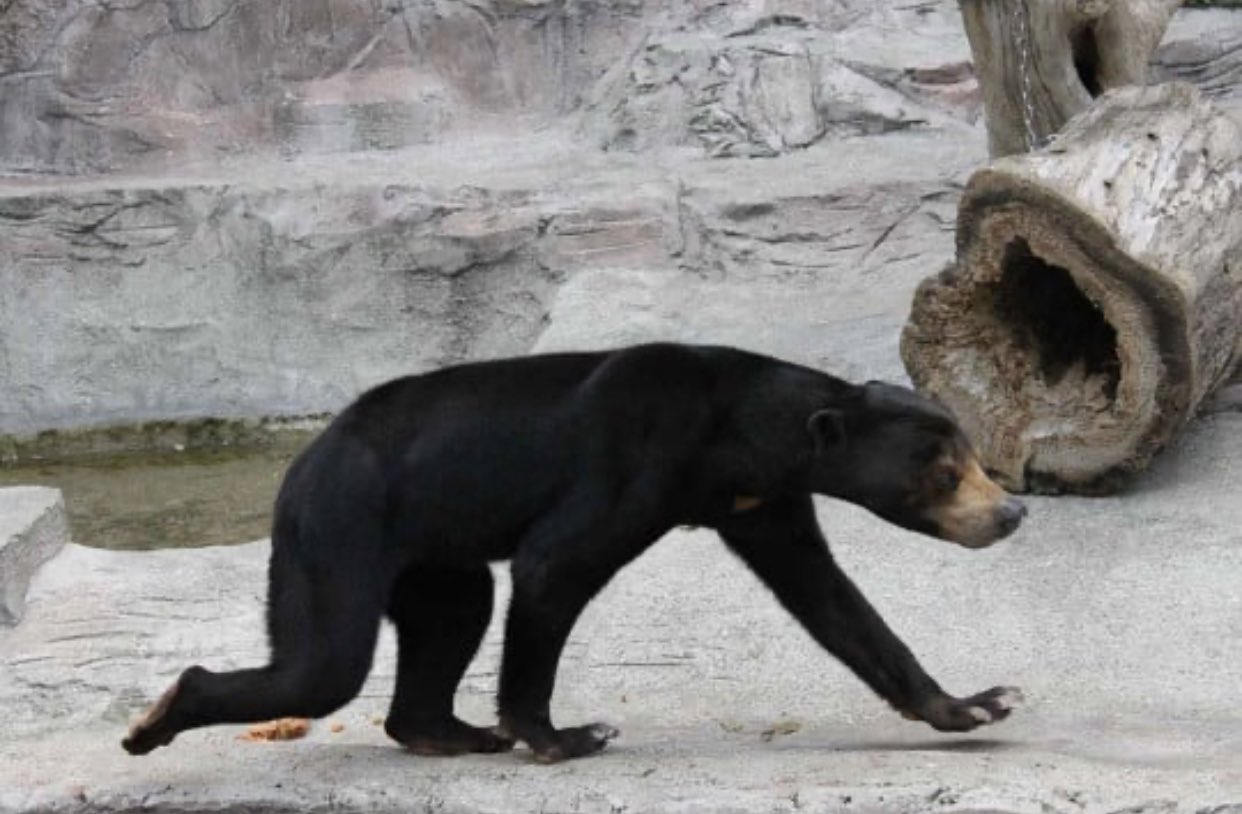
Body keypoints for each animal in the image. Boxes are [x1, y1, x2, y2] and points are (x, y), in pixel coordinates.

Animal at [122, 342, 1026, 763]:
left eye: (972, 456)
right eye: (946, 471)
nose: (1011, 512)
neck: (739, 436)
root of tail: (303, 463)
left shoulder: (763, 501)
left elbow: (829, 597)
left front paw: (979, 703)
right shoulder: (640, 454)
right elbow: (553, 565)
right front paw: (566, 734)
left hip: (430, 548)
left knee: (453, 614)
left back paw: (445, 731)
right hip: (340, 527)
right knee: (325, 662)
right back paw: (155, 718)